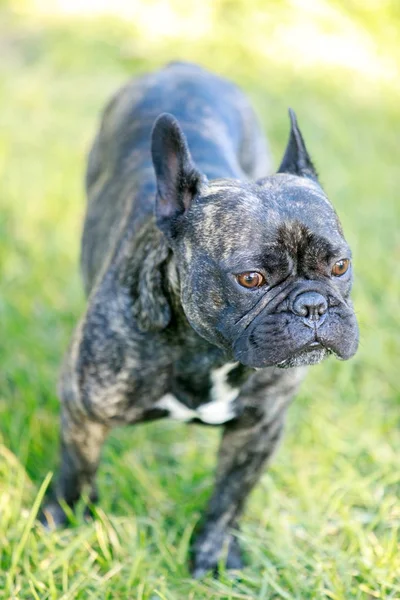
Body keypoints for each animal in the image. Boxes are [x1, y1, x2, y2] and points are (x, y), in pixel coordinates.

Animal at [40, 61, 360, 576]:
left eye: (340, 266)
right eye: (251, 278)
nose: (312, 304)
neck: (207, 352)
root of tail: (180, 67)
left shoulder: (258, 430)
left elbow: (230, 496)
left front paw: (215, 554)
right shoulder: (84, 413)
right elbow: (77, 473)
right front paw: (61, 525)